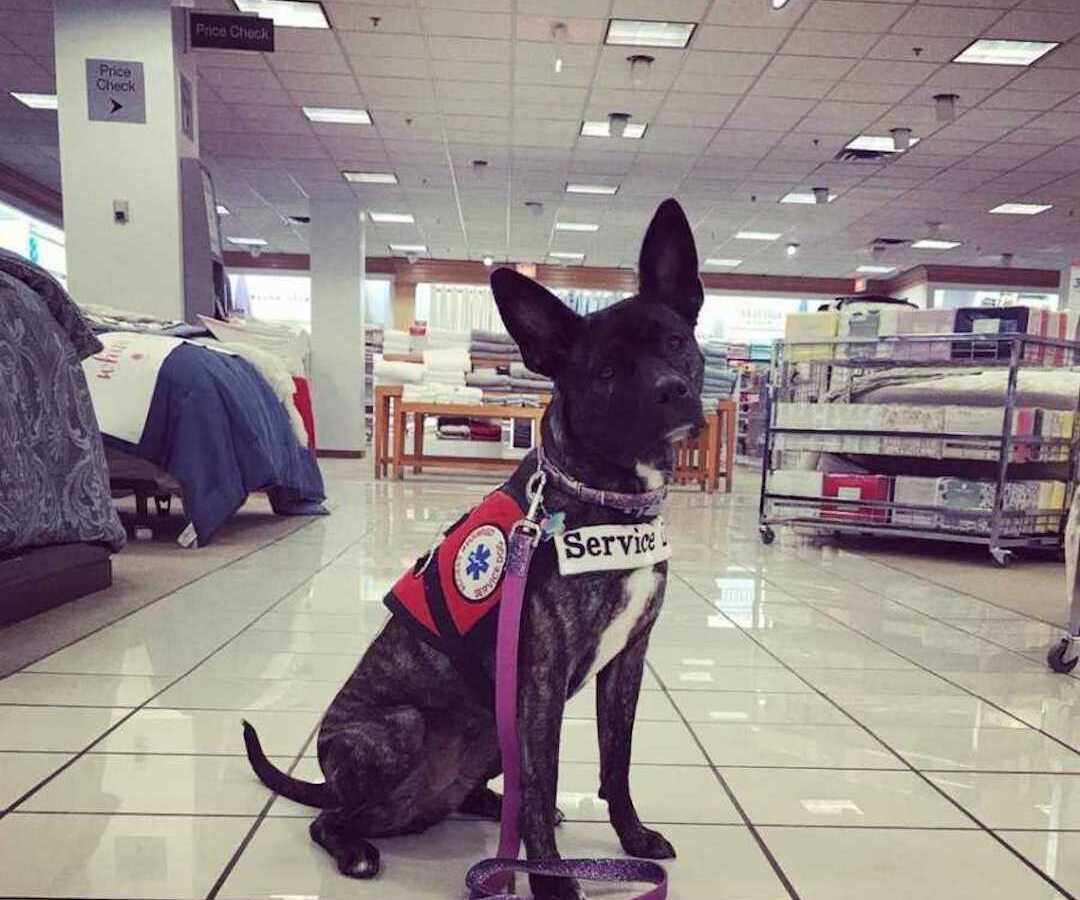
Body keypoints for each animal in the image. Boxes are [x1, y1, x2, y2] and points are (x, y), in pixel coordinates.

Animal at [243, 198, 708, 898]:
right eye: (605, 373)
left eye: (676, 342)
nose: (672, 390)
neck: (600, 492)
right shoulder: (538, 682)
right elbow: (542, 783)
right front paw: (552, 882)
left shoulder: (626, 664)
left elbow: (616, 762)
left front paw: (631, 839)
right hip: (402, 730)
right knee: (330, 817)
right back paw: (357, 849)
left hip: (488, 733)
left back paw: (485, 805)